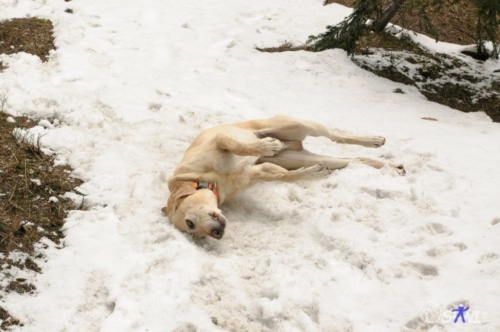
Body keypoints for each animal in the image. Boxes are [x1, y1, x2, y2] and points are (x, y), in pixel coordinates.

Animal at [162, 115, 404, 240]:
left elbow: (239, 146)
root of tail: (293, 144)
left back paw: (373, 140)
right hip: (302, 156)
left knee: (337, 136)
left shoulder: (220, 141)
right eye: (193, 229)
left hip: (299, 126)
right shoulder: (258, 171)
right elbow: (286, 177)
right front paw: (311, 173)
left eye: (189, 222)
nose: (217, 233)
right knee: (354, 160)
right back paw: (392, 166)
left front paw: (264, 146)